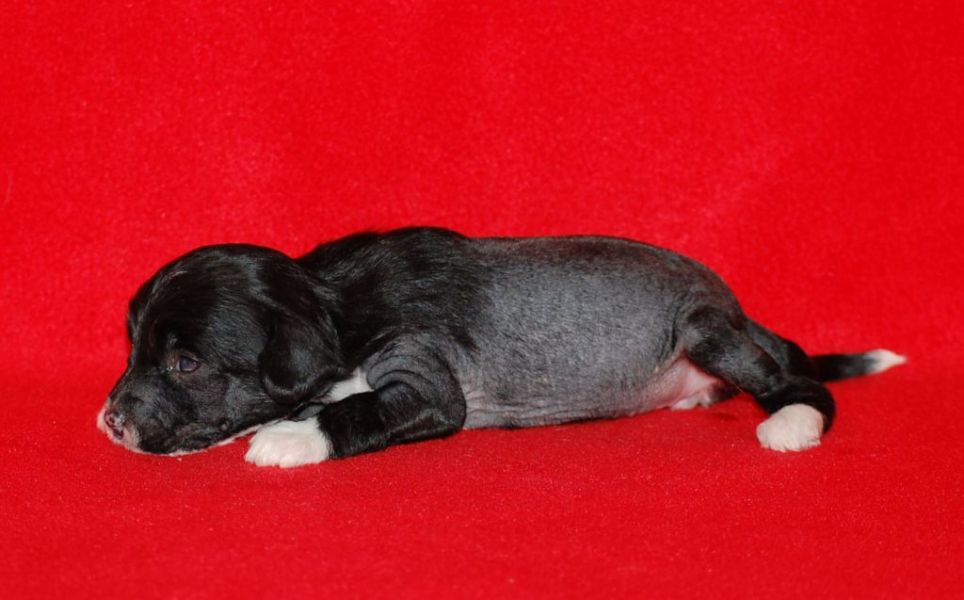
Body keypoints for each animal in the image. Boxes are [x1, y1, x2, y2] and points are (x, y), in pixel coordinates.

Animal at [98, 227, 905, 467]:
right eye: (134, 349)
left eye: (187, 364)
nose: (110, 422)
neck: (332, 302)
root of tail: (738, 308)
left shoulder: (424, 378)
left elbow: (354, 408)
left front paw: (292, 436)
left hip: (706, 327)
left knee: (802, 382)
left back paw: (791, 423)